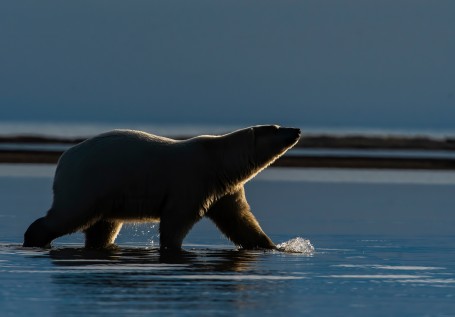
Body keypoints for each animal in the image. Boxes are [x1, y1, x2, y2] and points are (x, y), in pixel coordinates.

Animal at [24, 124, 302, 251]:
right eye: (277, 128)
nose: (297, 129)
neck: (218, 158)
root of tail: (64, 158)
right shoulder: (192, 180)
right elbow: (177, 218)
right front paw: (171, 248)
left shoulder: (225, 190)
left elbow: (241, 222)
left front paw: (273, 246)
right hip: (90, 181)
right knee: (71, 214)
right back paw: (35, 238)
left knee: (103, 226)